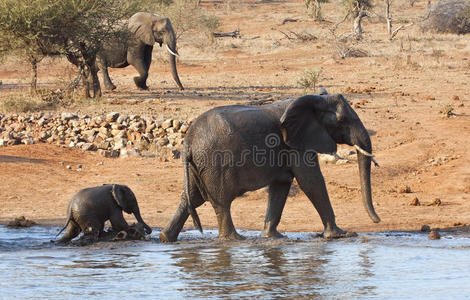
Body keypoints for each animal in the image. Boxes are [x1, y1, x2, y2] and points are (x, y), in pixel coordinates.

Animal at [160, 92, 380, 243]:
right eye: (342, 120)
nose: (377, 221)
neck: (315, 99)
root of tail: (188, 141)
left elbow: (281, 185)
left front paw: (272, 237)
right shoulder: (295, 143)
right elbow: (311, 182)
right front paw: (340, 234)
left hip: (198, 165)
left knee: (191, 198)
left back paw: (165, 238)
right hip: (215, 163)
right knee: (221, 202)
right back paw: (234, 240)